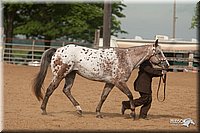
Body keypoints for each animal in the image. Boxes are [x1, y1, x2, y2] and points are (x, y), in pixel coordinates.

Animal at [32, 39, 169, 118]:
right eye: (159, 53)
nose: (167, 65)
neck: (126, 58)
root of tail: (58, 50)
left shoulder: (110, 83)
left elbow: (103, 97)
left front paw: (98, 113)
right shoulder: (119, 82)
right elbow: (130, 94)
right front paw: (132, 113)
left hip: (71, 75)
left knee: (66, 90)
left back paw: (79, 110)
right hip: (60, 74)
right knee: (50, 89)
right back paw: (44, 110)